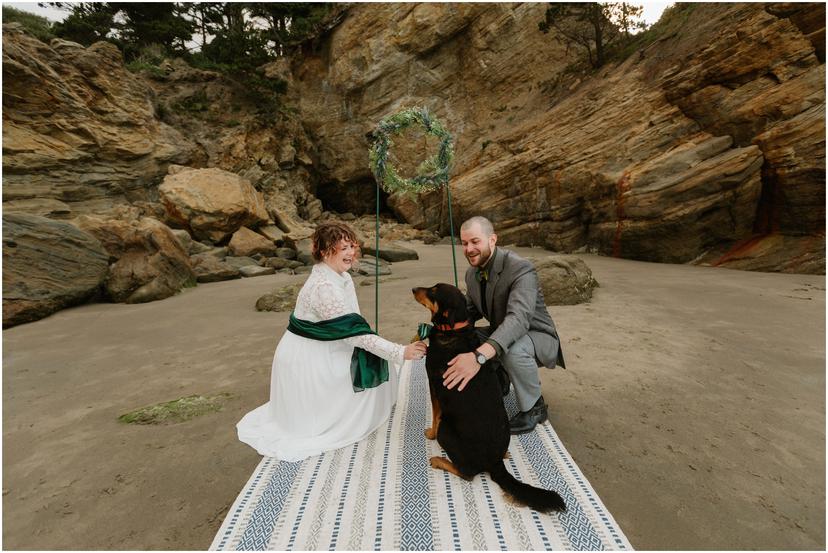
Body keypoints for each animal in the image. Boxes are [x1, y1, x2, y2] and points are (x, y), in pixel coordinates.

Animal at [412, 282, 568, 512]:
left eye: (433, 291)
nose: (413, 289)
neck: (454, 329)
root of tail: (494, 462)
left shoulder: (432, 383)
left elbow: (435, 414)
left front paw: (429, 433)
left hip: (446, 431)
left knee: (468, 473)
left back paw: (439, 461)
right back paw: (505, 454)